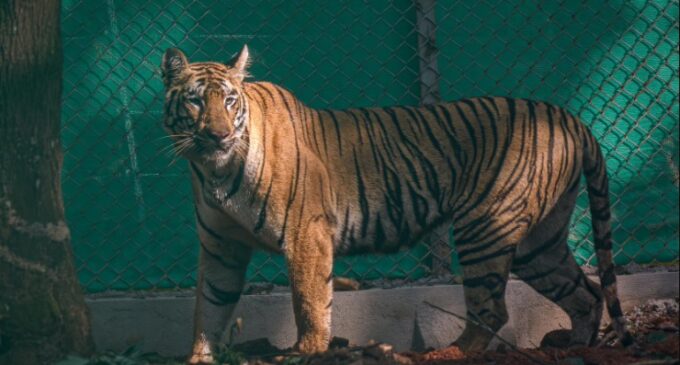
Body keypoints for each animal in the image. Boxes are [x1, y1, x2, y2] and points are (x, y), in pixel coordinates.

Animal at [159, 44, 632, 362]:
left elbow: (309, 304)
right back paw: (576, 347)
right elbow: (210, 306)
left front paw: (306, 352)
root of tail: (569, 116)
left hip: (486, 227)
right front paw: (199, 358)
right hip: (540, 243)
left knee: (492, 309)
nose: (218, 135)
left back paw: (447, 354)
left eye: (229, 101)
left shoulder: (305, 234)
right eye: (196, 100)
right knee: (585, 293)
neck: (214, 169)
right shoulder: (221, 247)